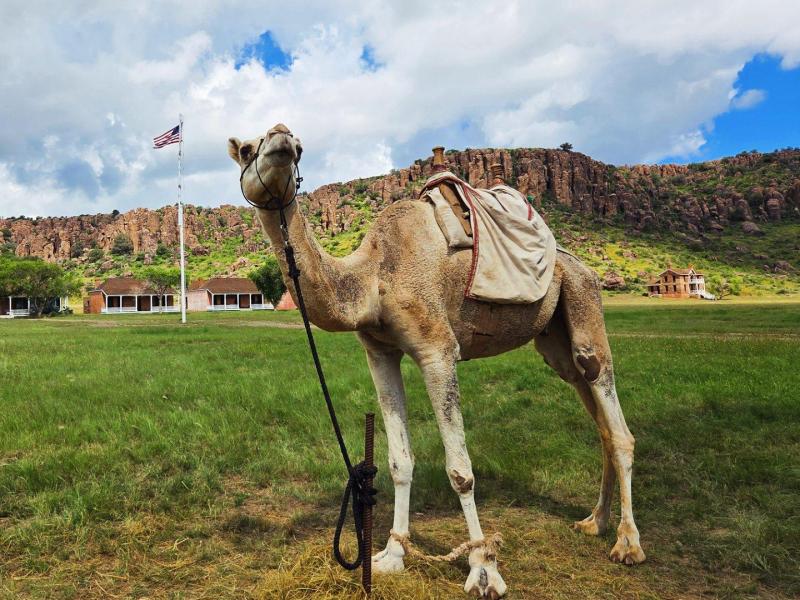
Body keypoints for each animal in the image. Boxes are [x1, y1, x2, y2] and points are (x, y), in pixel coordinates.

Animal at [227, 124, 645, 599]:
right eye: (247, 149)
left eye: (297, 148)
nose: (281, 136)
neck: (373, 276)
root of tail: (578, 263)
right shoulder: (379, 351)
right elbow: (398, 461)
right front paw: (391, 554)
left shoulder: (437, 349)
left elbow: (460, 469)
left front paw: (483, 568)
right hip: (554, 340)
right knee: (598, 419)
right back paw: (594, 522)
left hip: (583, 298)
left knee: (613, 413)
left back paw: (627, 543)